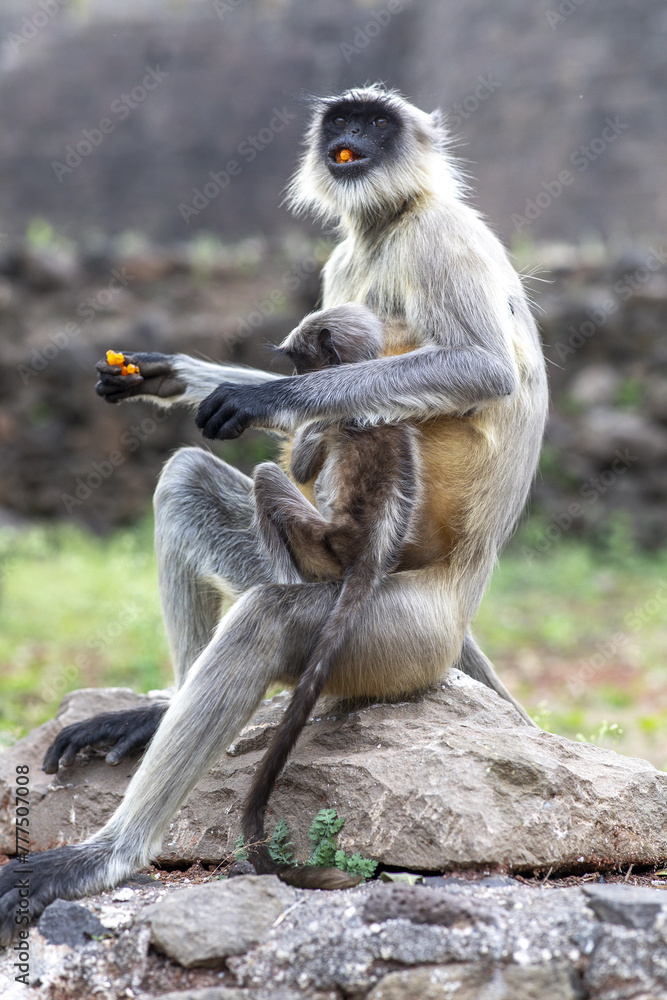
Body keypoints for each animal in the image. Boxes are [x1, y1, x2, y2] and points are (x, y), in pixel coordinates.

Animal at [245, 300, 422, 880]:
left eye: (301, 362)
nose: (297, 380)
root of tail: (367, 553)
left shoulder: (332, 418)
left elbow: (301, 461)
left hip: (321, 545)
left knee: (267, 478)